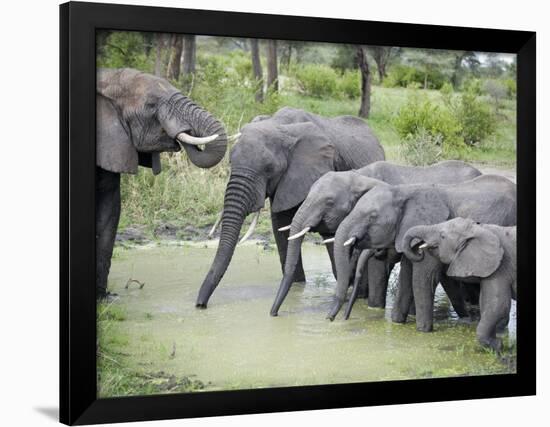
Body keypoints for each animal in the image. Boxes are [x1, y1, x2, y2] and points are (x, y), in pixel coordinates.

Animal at [196, 106, 386, 308]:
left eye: (269, 168)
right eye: (231, 162)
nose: (200, 305)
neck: (279, 126)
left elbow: (331, 232)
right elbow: (280, 227)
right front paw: (296, 286)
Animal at [330, 173, 520, 332]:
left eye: (372, 216)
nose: (333, 319)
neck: (403, 191)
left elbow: (422, 278)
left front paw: (422, 331)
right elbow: (406, 277)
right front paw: (397, 323)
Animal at [404, 219, 520, 352]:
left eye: (442, 236)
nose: (419, 252)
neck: (480, 229)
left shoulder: (501, 268)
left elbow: (498, 306)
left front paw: (497, 346)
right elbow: (485, 303)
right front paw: (496, 343)